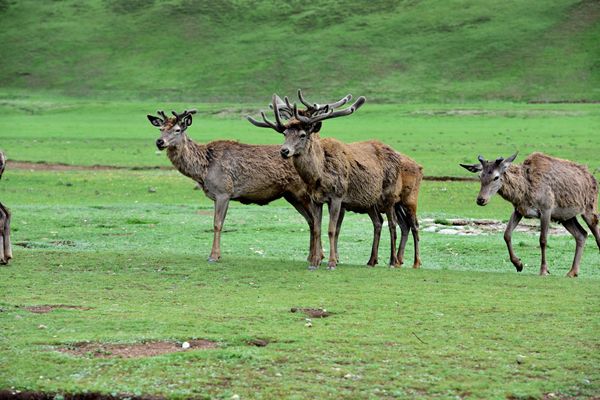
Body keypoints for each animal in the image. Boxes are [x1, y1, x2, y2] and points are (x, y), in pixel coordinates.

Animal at [146, 110, 324, 266]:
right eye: (161, 129)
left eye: (177, 129)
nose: (159, 142)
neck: (203, 169)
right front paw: (216, 254)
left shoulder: (223, 191)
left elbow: (217, 224)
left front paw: (213, 256)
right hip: (291, 196)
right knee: (310, 221)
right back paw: (312, 256)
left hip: (303, 193)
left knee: (316, 219)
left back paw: (317, 257)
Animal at [247, 92, 422, 270]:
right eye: (285, 134)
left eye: (303, 135)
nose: (284, 151)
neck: (319, 176)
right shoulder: (315, 199)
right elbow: (316, 228)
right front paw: (315, 262)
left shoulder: (338, 196)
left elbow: (332, 229)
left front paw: (331, 262)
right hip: (371, 201)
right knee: (380, 222)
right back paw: (373, 260)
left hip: (392, 196)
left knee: (396, 224)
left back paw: (396, 261)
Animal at [462, 152, 596, 276]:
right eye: (480, 175)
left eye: (496, 177)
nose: (481, 200)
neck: (525, 191)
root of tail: (592, 178)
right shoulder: (519, 210)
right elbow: (507, 234)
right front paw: (518, 264)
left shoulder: (546, 209)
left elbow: (543, 240)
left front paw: (543, 270)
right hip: (566, 217)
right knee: (582, 234)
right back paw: (572, 272)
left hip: (589, 208)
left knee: (594, 229)